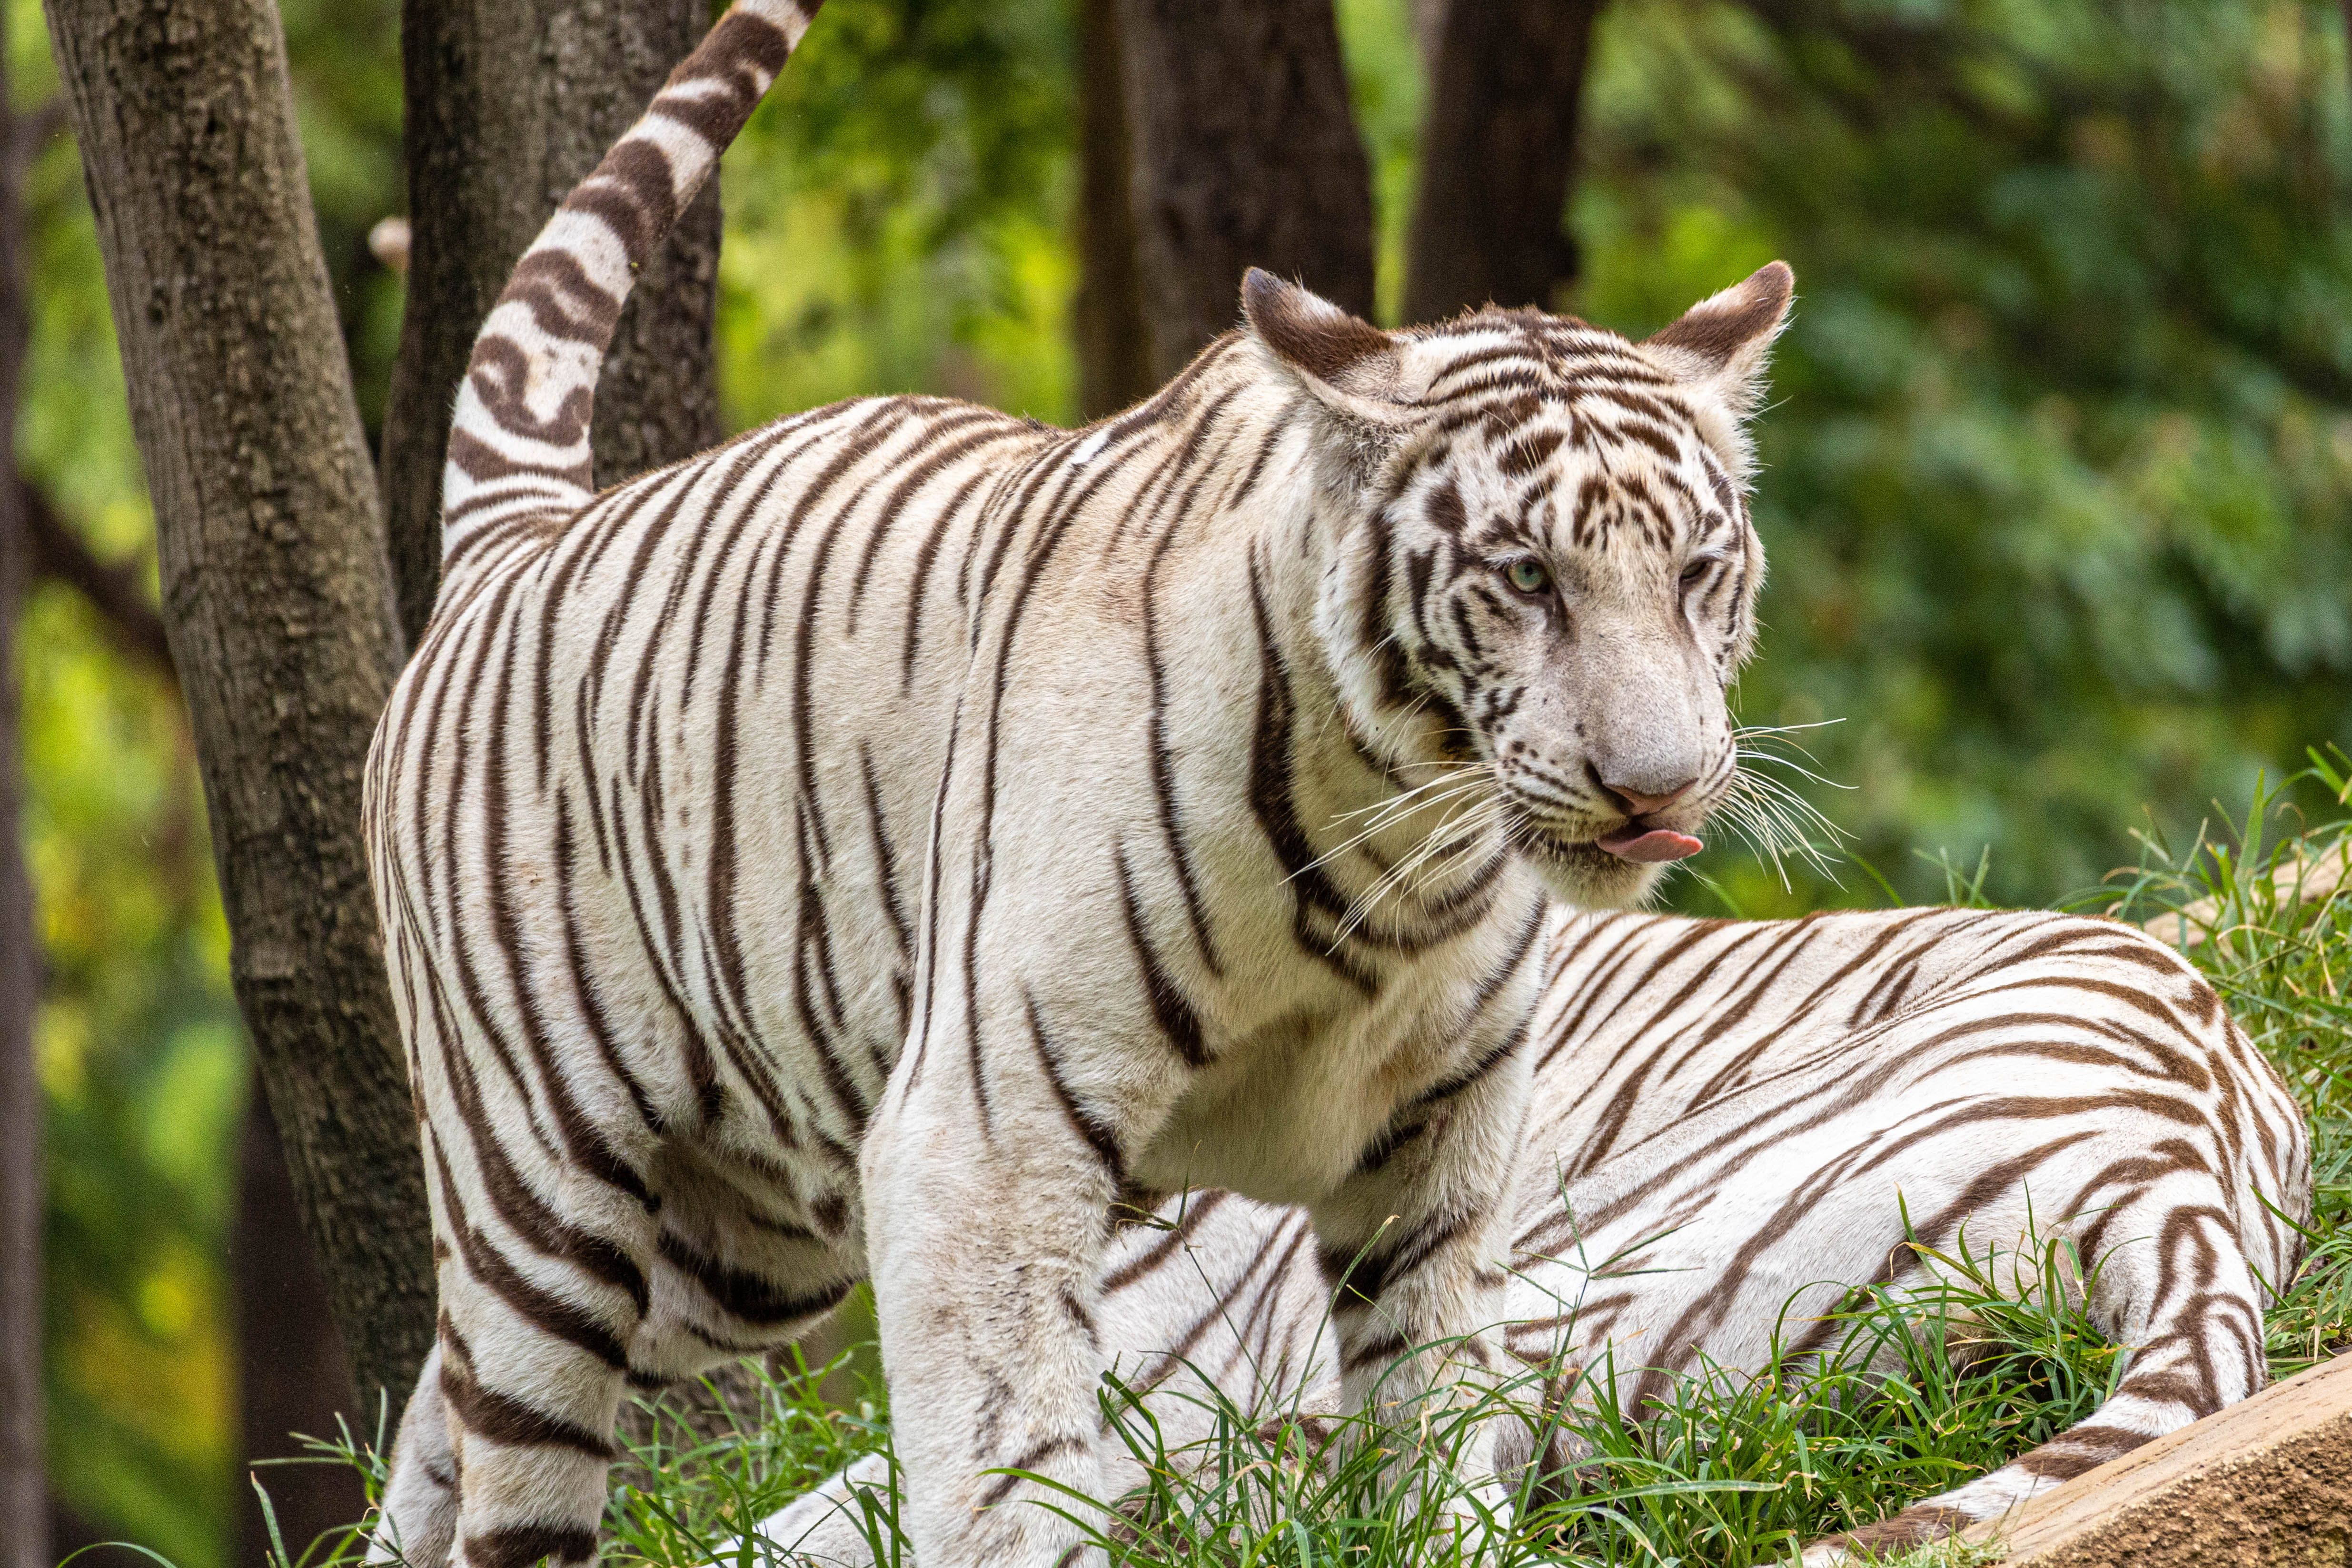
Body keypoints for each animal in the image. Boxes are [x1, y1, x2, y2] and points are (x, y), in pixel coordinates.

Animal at [359, 0, 1801, 1563]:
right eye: (1529, 578)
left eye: (1696, 572)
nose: (1655, 784)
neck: (1400, 849)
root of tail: (519, 542)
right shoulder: (982, 1144)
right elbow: (1013, 1462)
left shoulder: (1442, 1144)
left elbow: (1435, 1414)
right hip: (552, 1198)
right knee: (515, 1457)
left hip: (739, 1243)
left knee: (436, 1413)